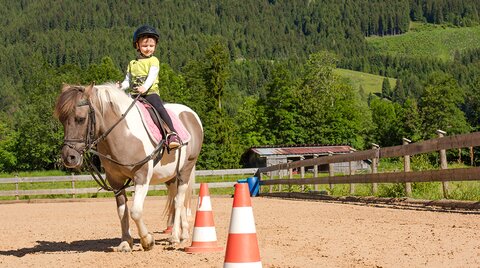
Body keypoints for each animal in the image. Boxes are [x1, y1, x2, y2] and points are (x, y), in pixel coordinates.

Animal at [53, 83, 203, 251]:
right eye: (62, 120)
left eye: (80, 119)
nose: (68, 157)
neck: (123, 134)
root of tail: (191, 115)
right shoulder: (115, 181)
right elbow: (122, 211)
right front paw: (125, 242)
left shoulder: (141, 176)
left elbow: (135, 212)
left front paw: (147, 240)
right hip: (170, 177)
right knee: (178, 199)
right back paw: (183, 235)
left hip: (185, 169)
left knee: (178, 201)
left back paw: (175, 237)